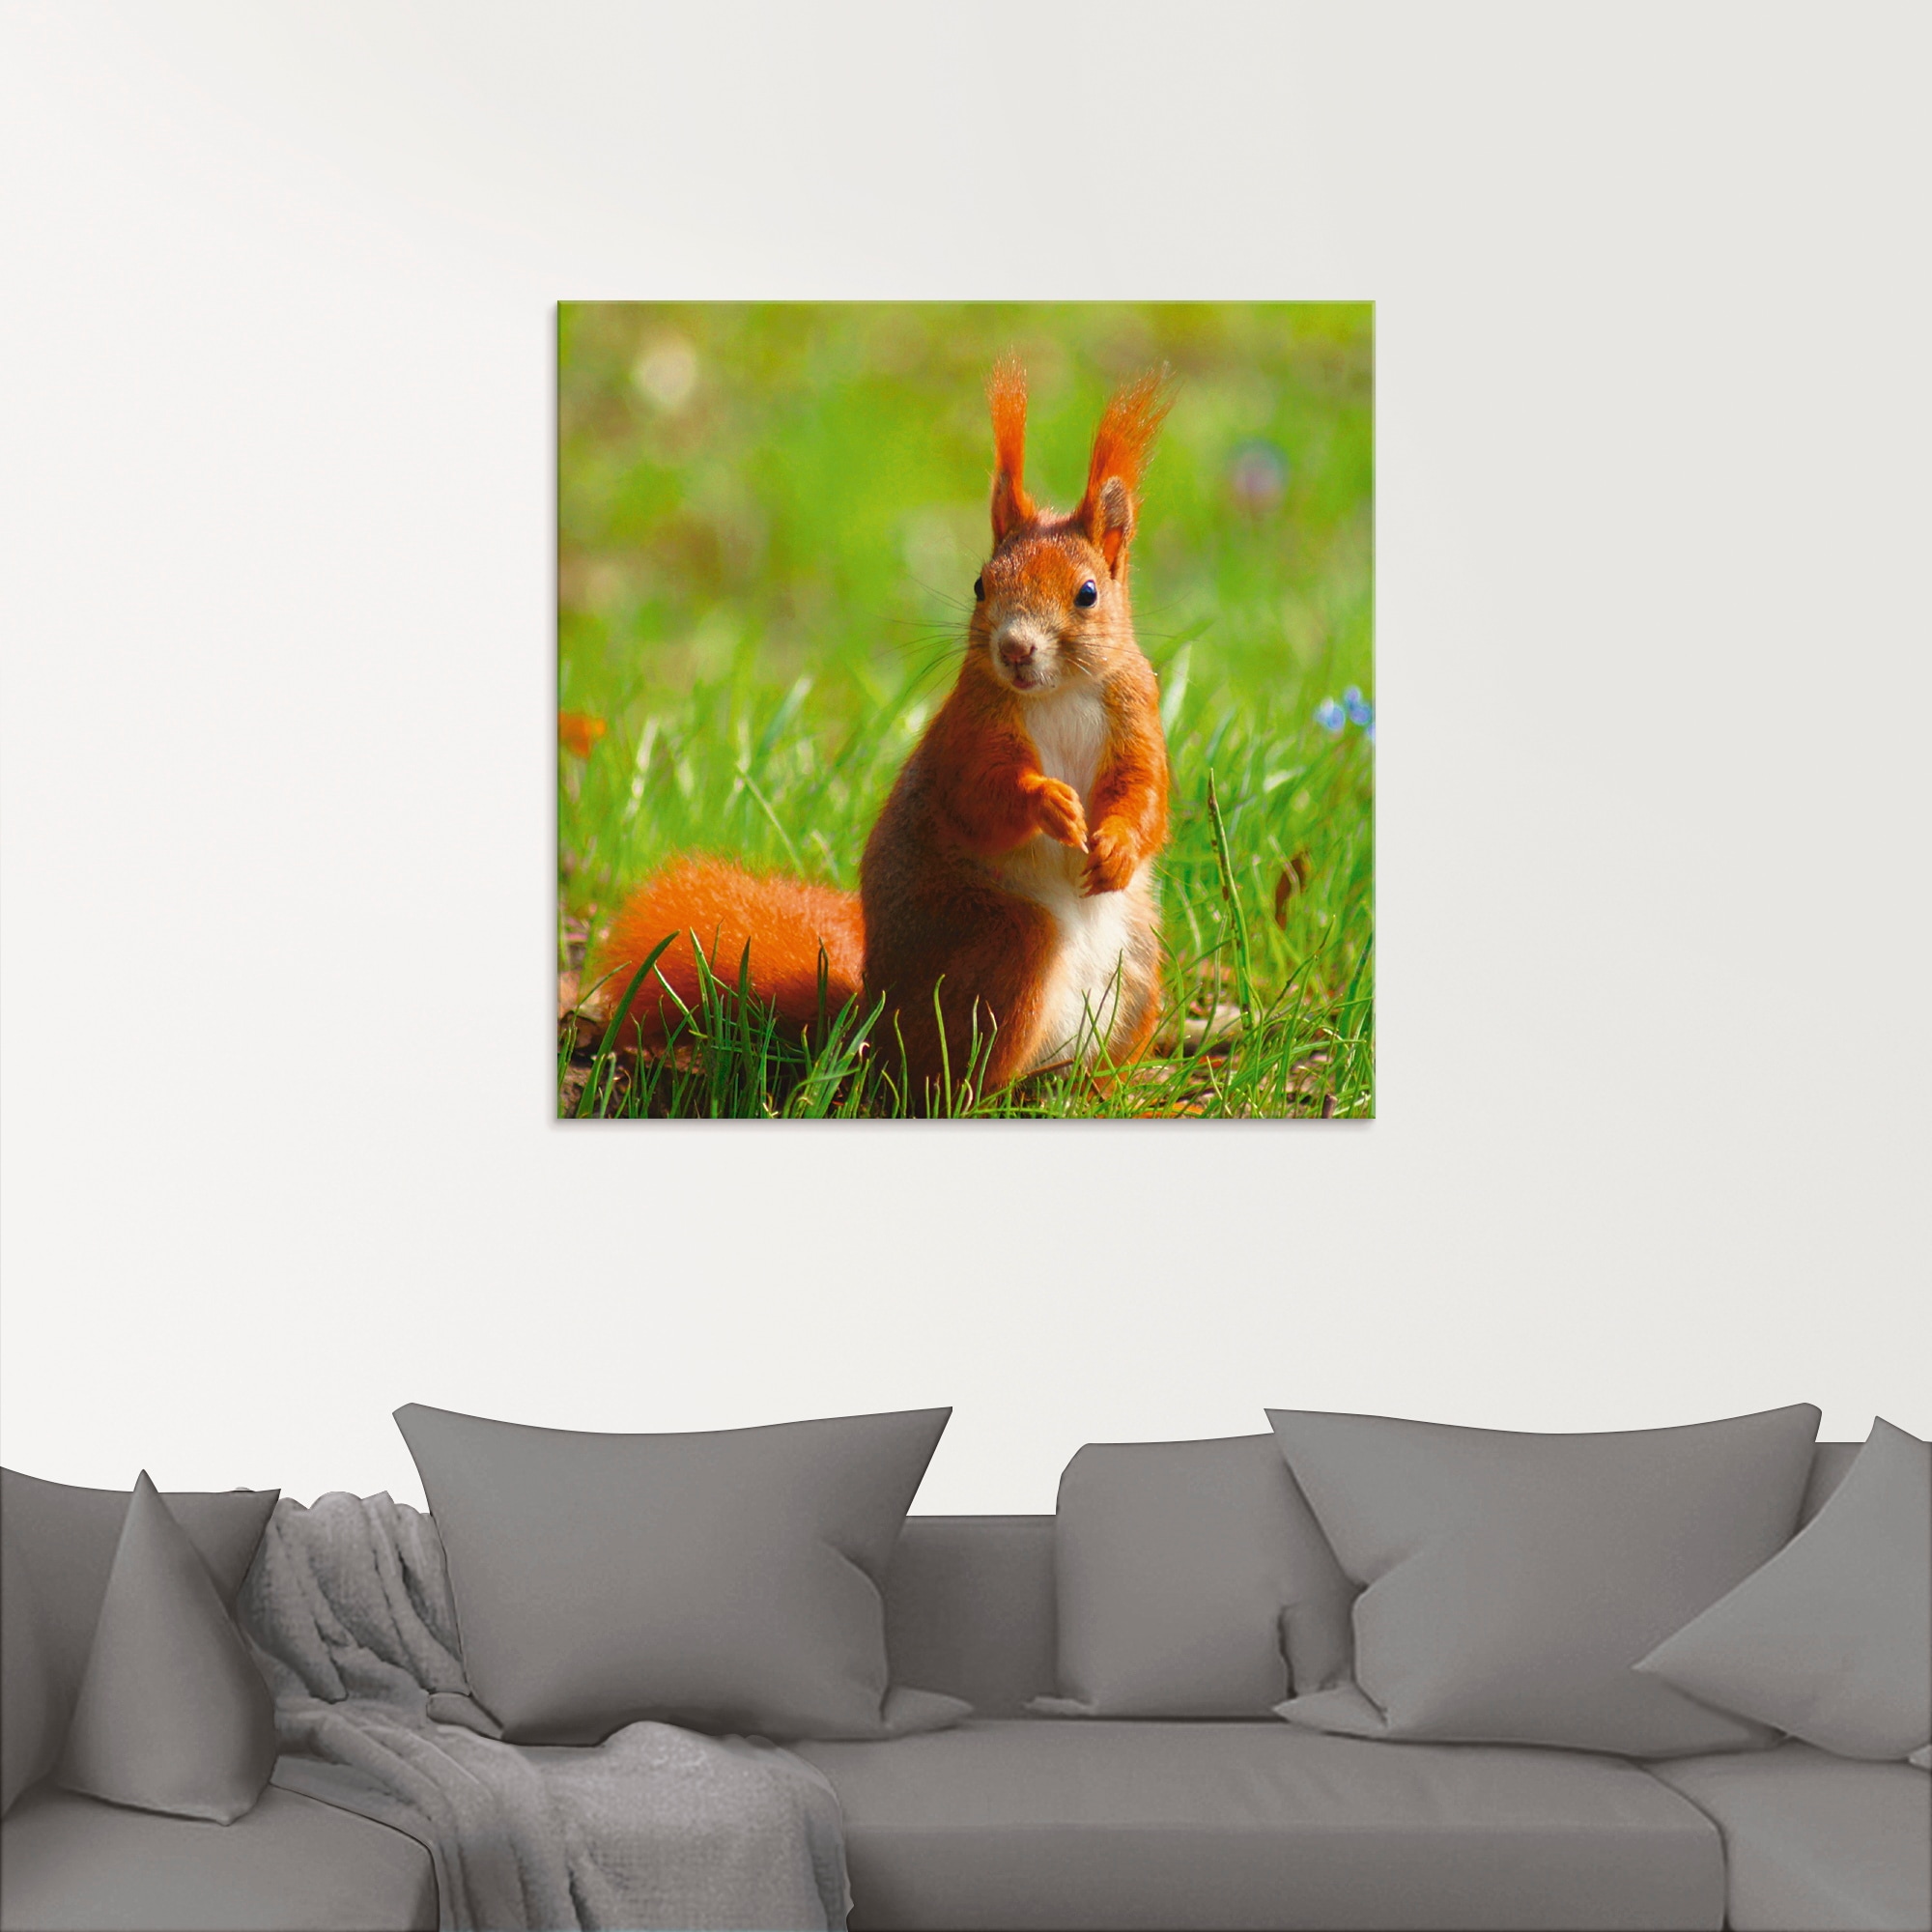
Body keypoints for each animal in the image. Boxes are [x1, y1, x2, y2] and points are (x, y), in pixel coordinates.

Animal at [586, 357, 1174, 1108]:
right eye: (981, 585)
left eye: (1089, 593)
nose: (1015, 649)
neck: (1059, 693)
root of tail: (873, 1028)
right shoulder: (968, 730)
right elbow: (977, 795)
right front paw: (1047, 801)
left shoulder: (1137, 715)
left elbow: (1146, 795)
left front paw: (1118, 845)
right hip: (1004, 944)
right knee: (950, 1076)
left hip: (1139, 968)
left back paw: (1105, 1088)